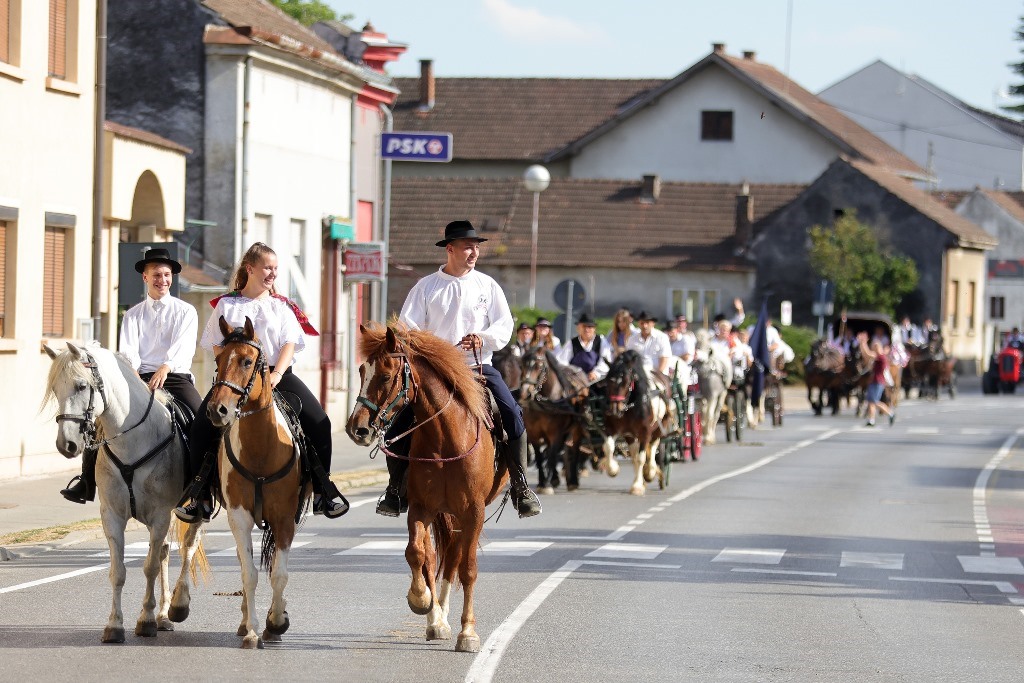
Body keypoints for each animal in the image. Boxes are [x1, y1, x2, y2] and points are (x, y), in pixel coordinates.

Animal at [43, 344, 205, 643]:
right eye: (56, 389)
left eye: (81, 385)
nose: (66, 444)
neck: (134, 440)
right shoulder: (112, 516)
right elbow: (118, 571)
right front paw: (115, 625)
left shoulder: (161, 515)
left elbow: (150, 567)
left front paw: (146, 621)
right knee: (164, 552)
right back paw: (163, 615)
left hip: (194, 511)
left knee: (188, 547)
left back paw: (177, 606)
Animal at [204, 317, 307, 651]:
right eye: (218, 360)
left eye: (247, 361)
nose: (217, 410)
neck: (262, 448)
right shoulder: (239, 516)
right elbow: (249, 573)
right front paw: (252, 629)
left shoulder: (285, 518)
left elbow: (279, 573)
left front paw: (276, 622)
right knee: (243, 563)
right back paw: (244, 620)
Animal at [348, 323, 507, 655]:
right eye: (361, 370)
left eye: (386, 376)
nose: (357, 428)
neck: (447, 434)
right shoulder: (420, 507)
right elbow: (417, 554)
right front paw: (421, 600)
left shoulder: (473, 511)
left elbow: (468, 569)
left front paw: (468, 633)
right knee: (437, 556)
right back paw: (436, 618)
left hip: (462, 514)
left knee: (455, 557)